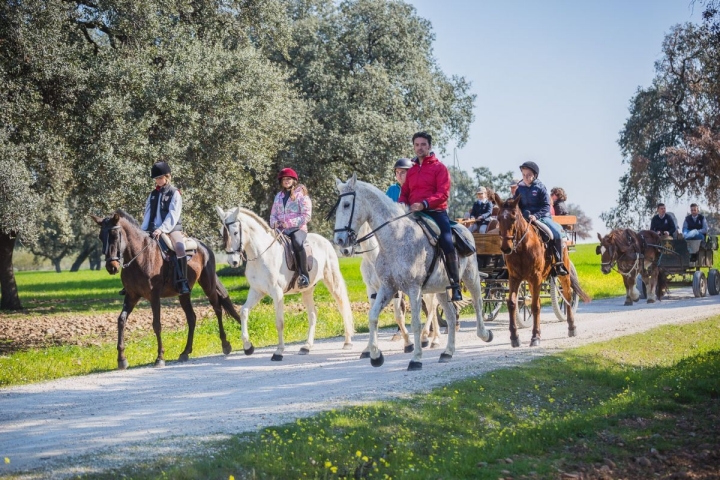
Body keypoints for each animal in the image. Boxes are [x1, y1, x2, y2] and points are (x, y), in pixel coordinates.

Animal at [91, 210, 242, 369]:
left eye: (114, 235)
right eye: (101, 236)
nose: (111, 267)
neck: (139, 257)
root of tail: (204, 247)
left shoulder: (154, 296)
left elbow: (157, 325)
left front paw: (160, 358)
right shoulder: (131, 296)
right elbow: (121, 320)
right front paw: (121, 359)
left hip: (208, 284)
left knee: (217, 308)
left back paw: (225, 344)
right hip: (184, 294)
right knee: (192, 317)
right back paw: (185, 352)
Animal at [215, 206, 354, 360]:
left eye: (235, 232)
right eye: (221, 233)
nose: (232, 261)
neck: (261, 255)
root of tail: (324, 241)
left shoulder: (277, 293)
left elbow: (279, 322)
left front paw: (278, 352)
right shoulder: (256, 291)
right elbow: (243, 312)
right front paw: (248, 346)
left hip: (332, 281)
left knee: (342, 307)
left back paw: (347, 342)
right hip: (307, 290)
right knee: (313, 314)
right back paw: (306, 346)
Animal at [340, 222, 442, 356]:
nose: (345, 250)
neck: (373, 257)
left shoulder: (395, 290)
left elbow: (398, 316)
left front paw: (408, 344)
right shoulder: (371, 289)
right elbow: (373, 314)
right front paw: (369, 348)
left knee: (432, 307)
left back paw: (431, 338)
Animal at [493, 193, 591, 347]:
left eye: (513, 218)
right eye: (498, 219)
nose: (506, 248)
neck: (522, 247)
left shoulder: (536, 277)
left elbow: (535, 306)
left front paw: (535, 337)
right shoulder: (515, 278)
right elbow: (512, 303)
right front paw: (514, 337)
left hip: (563, 275)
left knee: (568, 296)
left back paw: (572, 327)